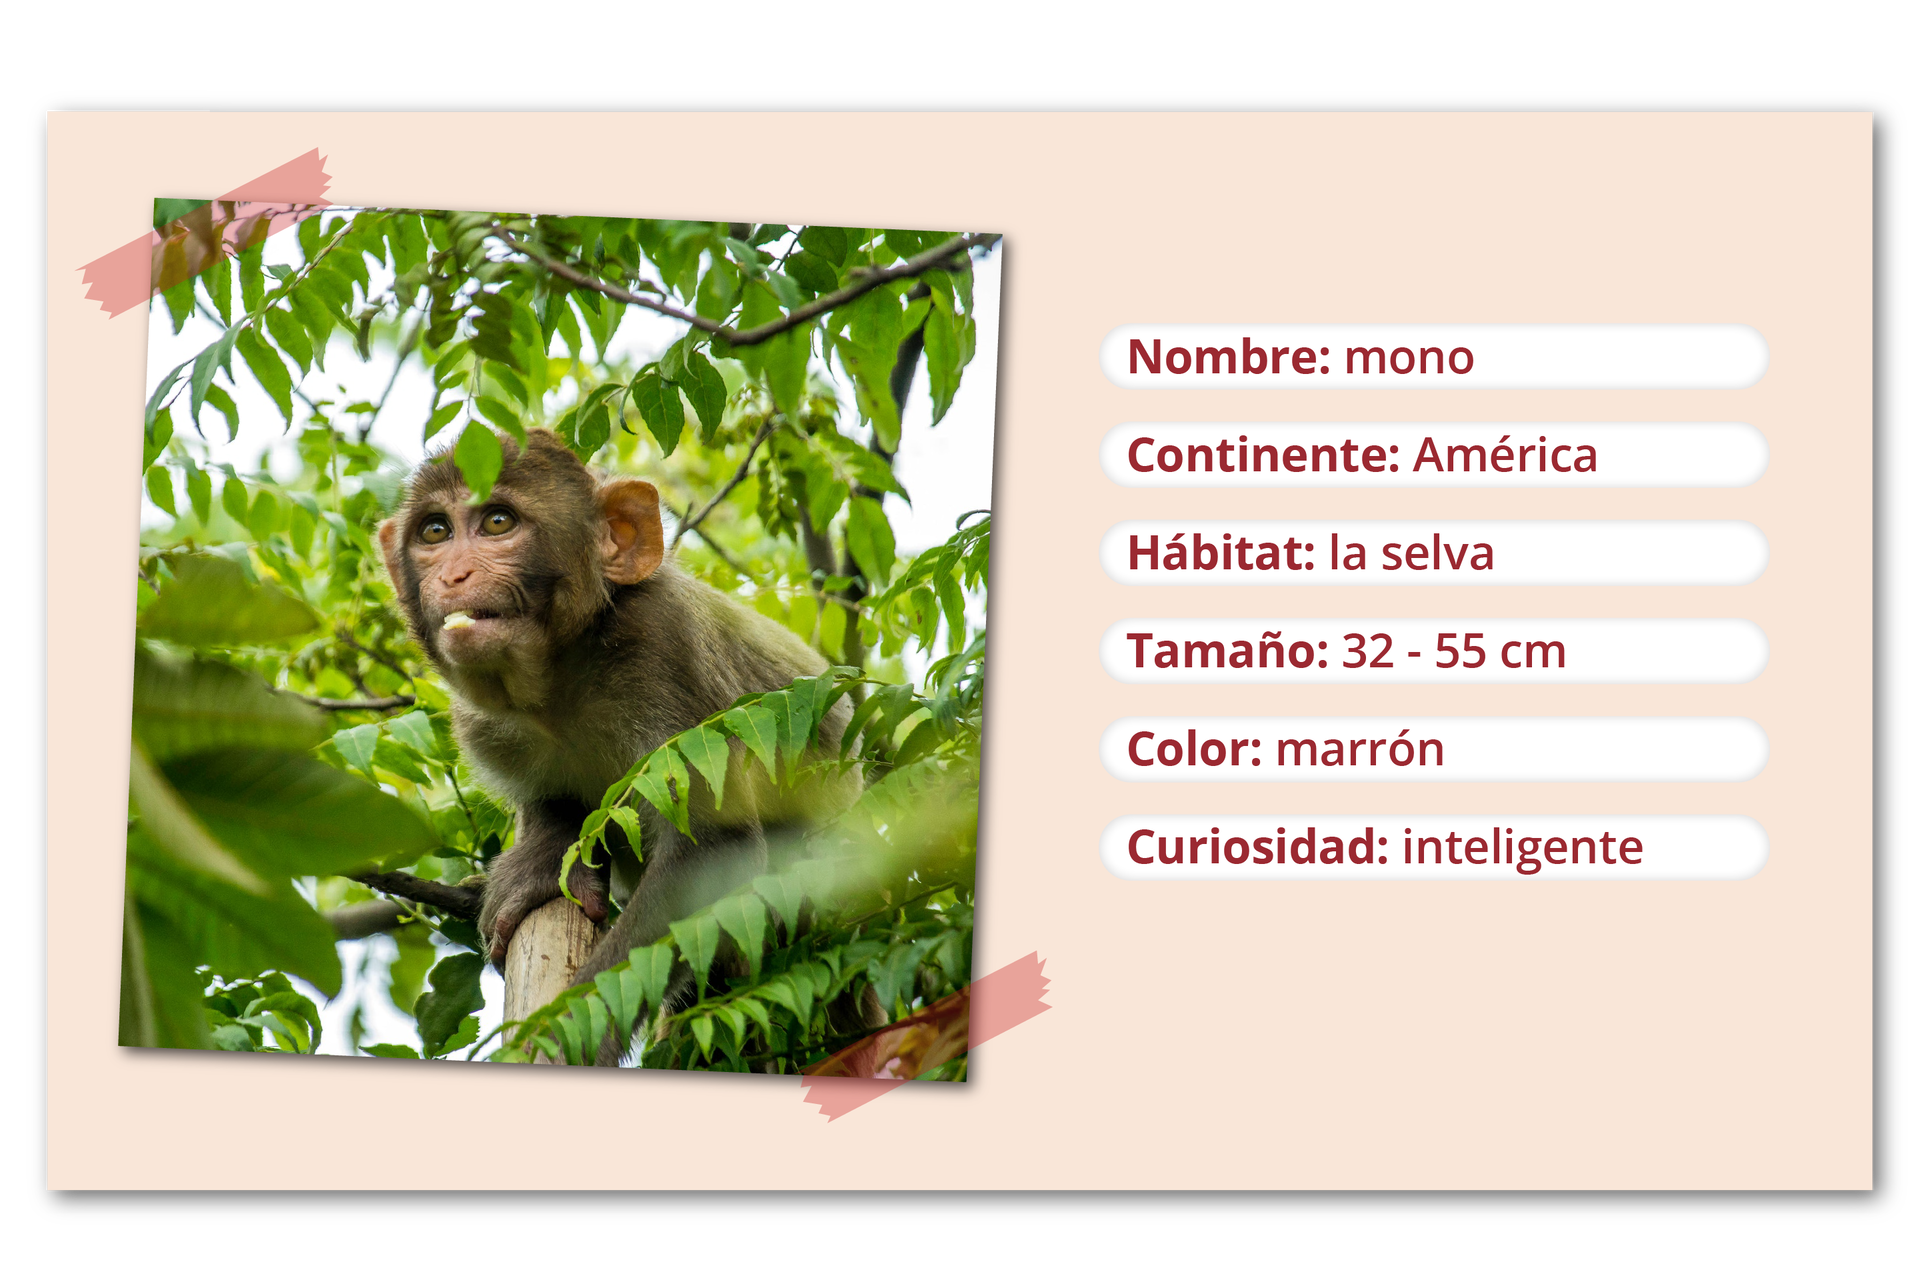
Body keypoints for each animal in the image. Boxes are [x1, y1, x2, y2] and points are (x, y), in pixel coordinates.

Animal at [378, 427, 876, 1065]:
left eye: (497, 522)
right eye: (435, 532)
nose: (454, 576)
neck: (562, 682)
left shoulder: (664, 647)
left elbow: (713, 852)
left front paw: (565, 1037)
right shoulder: (481, 724)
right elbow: (553, 803)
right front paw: (540, 862)